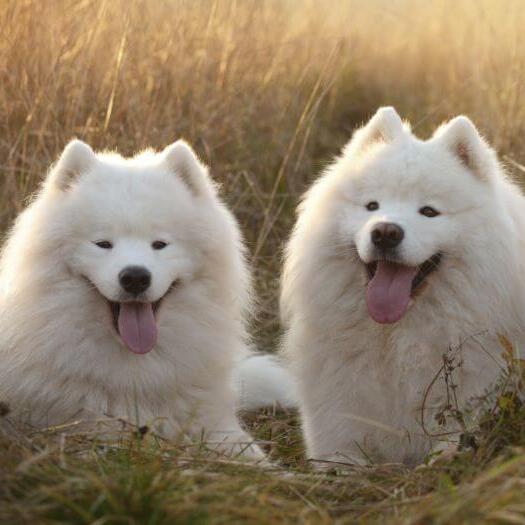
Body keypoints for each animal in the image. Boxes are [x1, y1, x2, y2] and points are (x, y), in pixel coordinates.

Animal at [282, 105, 525, 462]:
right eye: (372, 205)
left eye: (429, 211)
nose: (385, 232)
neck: (398, 340)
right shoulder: (337, 424)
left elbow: (450, 445)